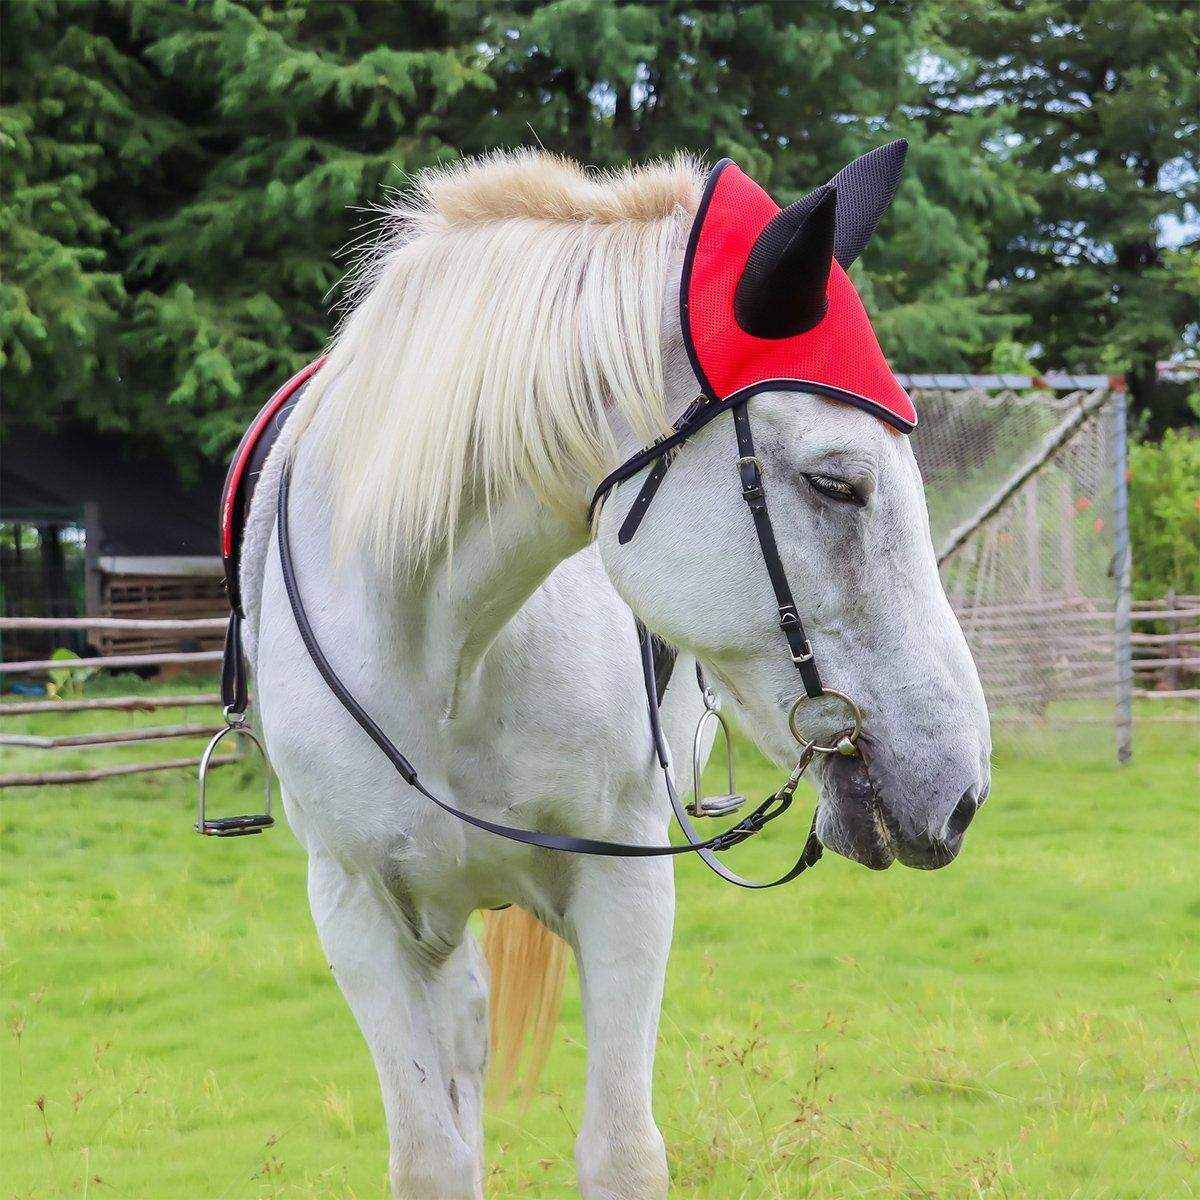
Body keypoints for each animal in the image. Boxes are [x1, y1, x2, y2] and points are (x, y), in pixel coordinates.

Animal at [233, 147, 990, 1199]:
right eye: (835, 482)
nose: (959, 788)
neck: (447, 655)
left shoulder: (625, 889)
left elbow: (622, 1151)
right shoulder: (355, 912)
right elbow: (432, 1158)